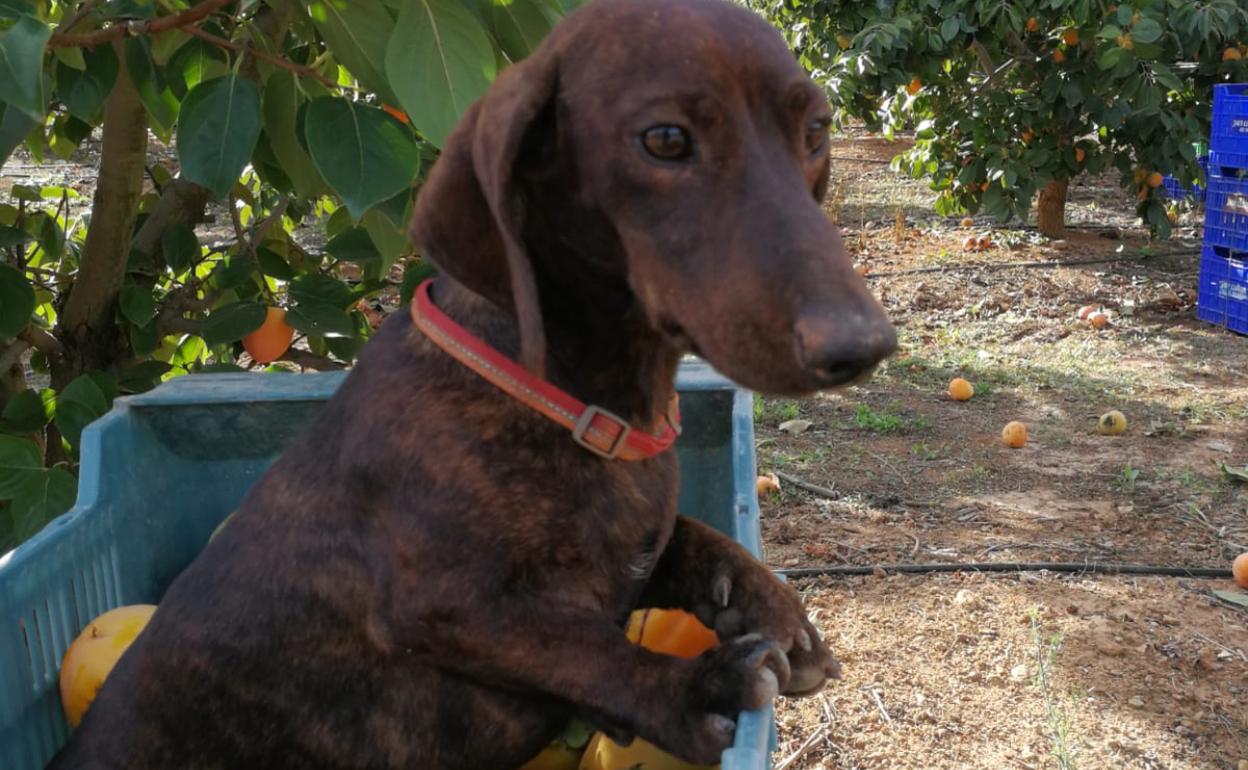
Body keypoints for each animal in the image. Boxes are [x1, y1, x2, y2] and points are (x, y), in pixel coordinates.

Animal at [46, 0, 888, 763]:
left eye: (816, 130)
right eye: (665, 139)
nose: (864, 344)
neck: (578, 404)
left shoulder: (638, 548)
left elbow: (697, 538)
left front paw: (775, 609)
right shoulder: (445, 607)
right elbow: (586, 648)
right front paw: (694, 689)